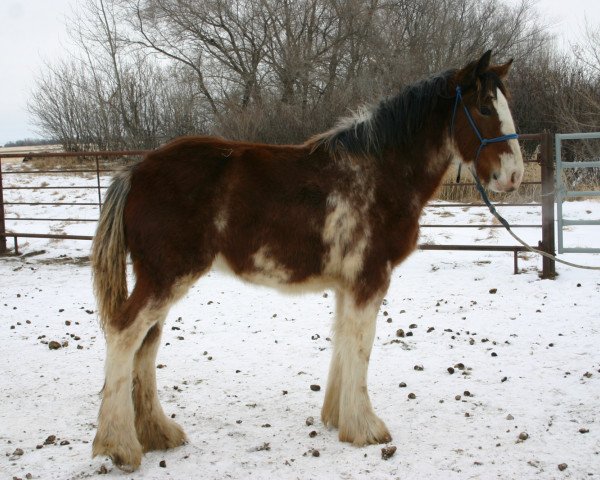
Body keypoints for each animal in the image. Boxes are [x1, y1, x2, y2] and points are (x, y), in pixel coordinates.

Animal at [91, 50, 524, 470]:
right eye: (484, 107)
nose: (515, 176)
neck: (380, 173)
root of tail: (135, 170)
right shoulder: (370, 279)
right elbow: (361, 347)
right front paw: (366, 428)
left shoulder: (348, 284)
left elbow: (343, 341)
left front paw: (337, 418)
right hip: (166, 278)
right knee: (124, 335)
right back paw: (120, 447)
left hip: (160, 279)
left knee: (146, 345)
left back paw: (157, 434)